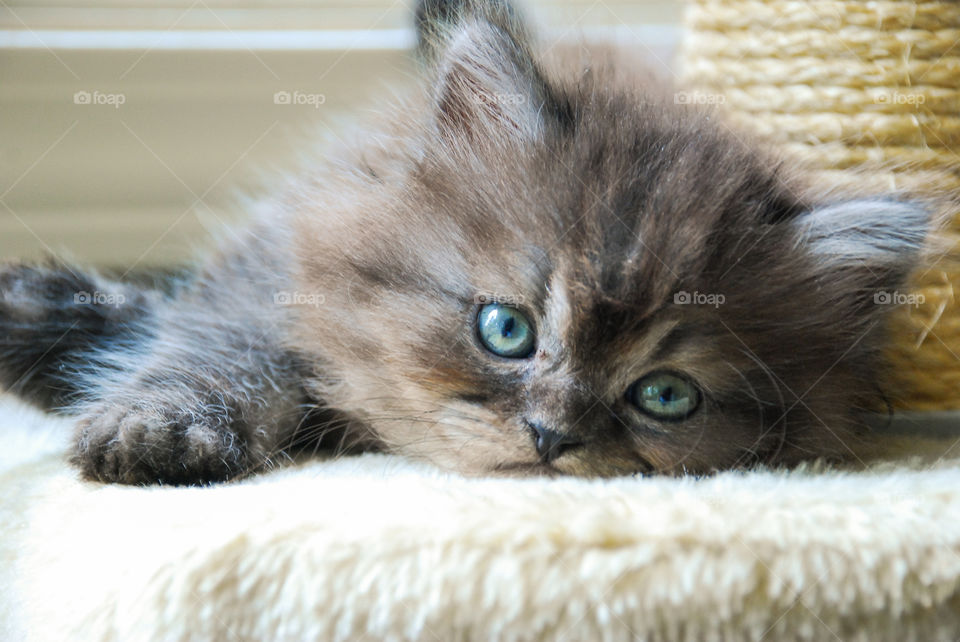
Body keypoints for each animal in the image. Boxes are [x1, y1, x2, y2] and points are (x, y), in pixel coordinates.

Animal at [0, 0, 932, 480]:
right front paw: (157, 425)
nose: (552, 437)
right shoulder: (275, 260)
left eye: (666, 396)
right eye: (506, 330)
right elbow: (220, 343)